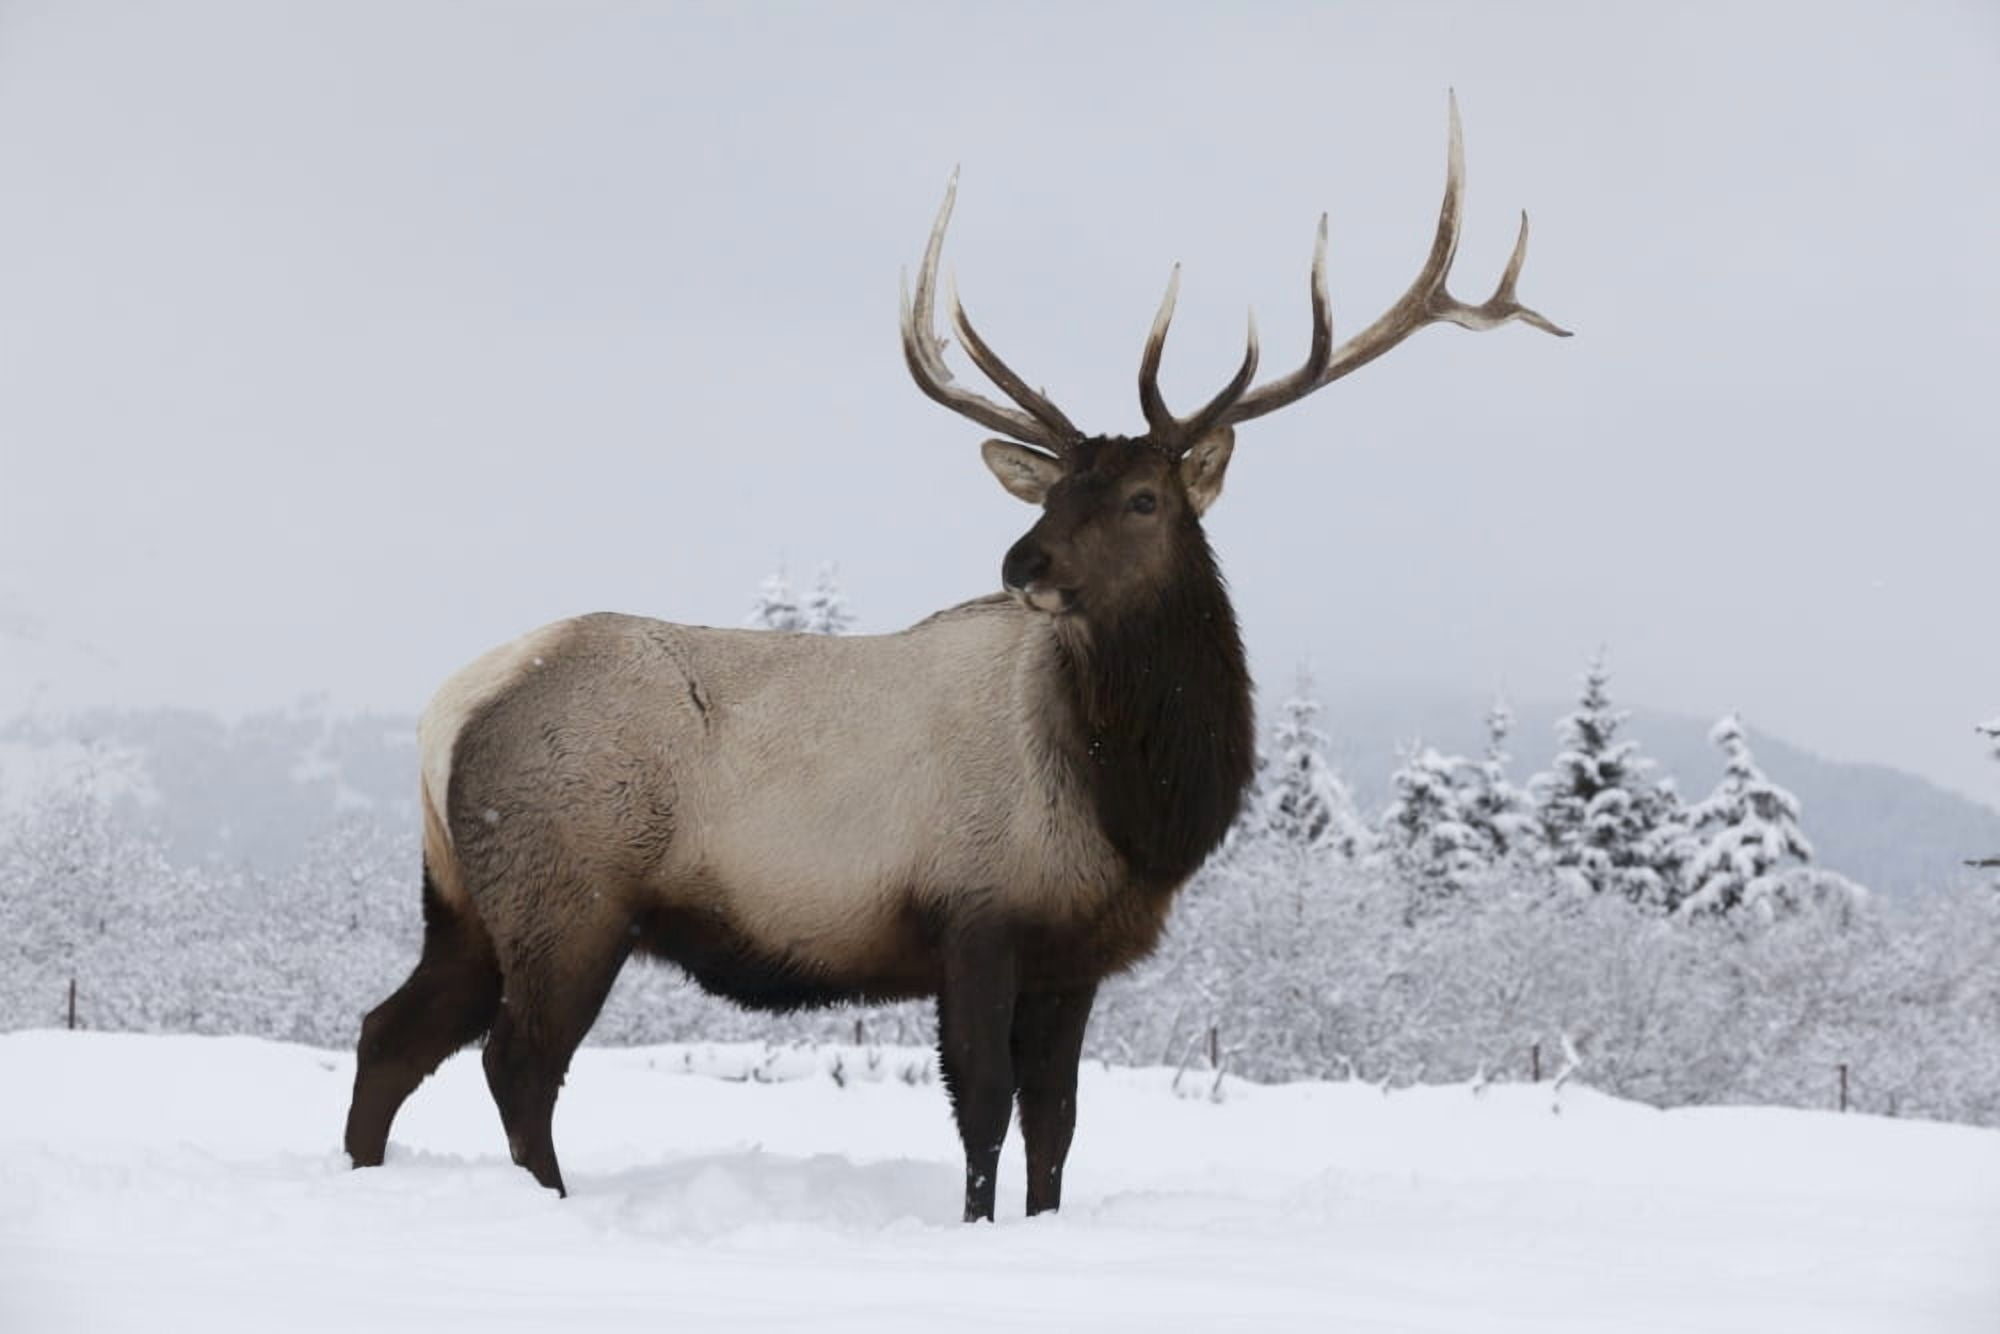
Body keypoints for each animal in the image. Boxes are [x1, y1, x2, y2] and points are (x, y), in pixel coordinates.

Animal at [343, 95, 1568, 1223]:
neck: (1134, 808)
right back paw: (549, 1203)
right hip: (570, 890)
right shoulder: (976, 912)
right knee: (517, 1062)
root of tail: (451, 709)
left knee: (389, 1032)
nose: (1021, 558)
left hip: (466, 899)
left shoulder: (1077, 950)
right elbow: (982, 1106)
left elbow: (1057, 1120)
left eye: (1140, 496)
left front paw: (1040, 1223)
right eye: (1055, 491)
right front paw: (978, 1229)